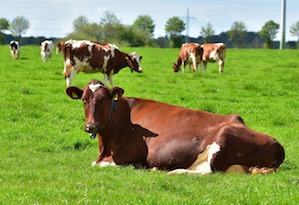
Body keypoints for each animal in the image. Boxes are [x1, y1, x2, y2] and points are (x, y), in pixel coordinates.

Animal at [65, 79, 286, 175]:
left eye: (104, 99)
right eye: (84, 100)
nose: (91, 125)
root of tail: (277, 143)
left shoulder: (132, 153)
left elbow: (101, 164)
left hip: (223, 138)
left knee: (210, 171)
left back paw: (174, 172)